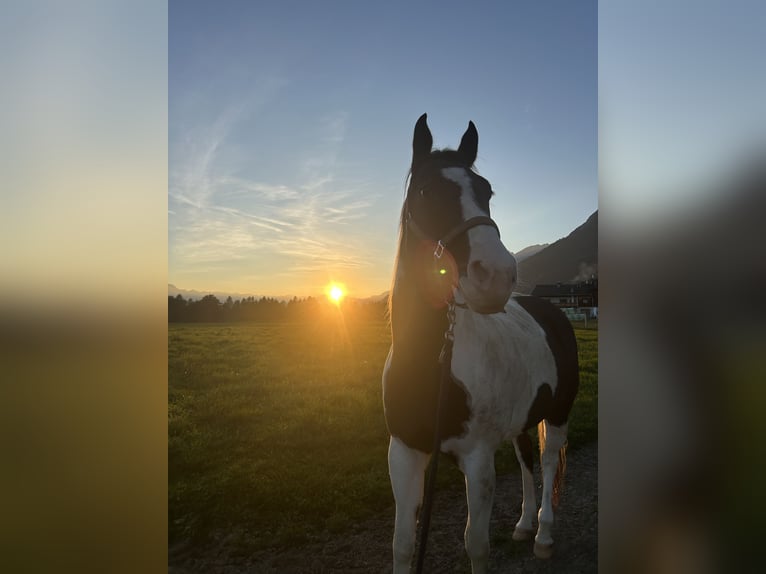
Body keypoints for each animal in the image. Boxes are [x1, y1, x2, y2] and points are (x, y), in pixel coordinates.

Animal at [382, 114, 579, 574]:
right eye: (425, 191)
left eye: (487, 191)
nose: (496, 275)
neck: (431, 363)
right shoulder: (403, 452)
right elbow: (402, 543)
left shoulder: (477, 458)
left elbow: (476, 544)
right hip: (524, 417)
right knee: (527, 460)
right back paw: (524, 526)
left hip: (558, 413)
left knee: (547, 462)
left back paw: (543, 534)